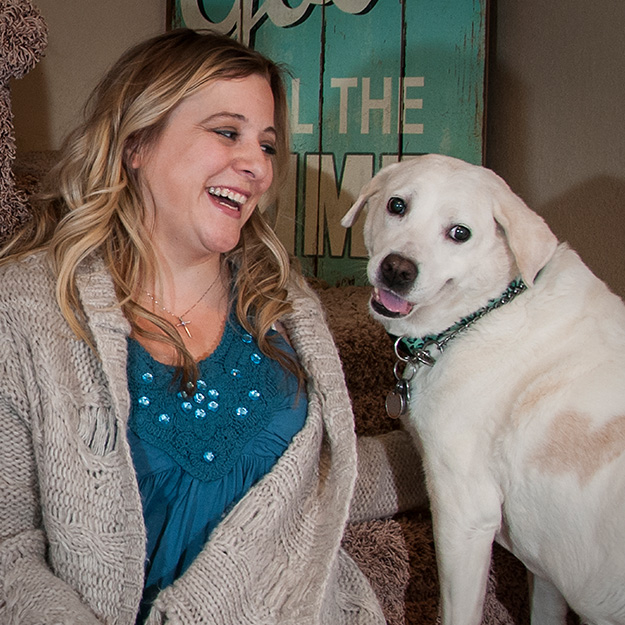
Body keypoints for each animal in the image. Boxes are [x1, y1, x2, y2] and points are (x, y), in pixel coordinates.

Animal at [344, 155, 625, 624]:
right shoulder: (544, 575)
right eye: (397, 205)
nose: (397, 269)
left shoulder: (464, 515)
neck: (485, 312)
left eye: (460, 233)